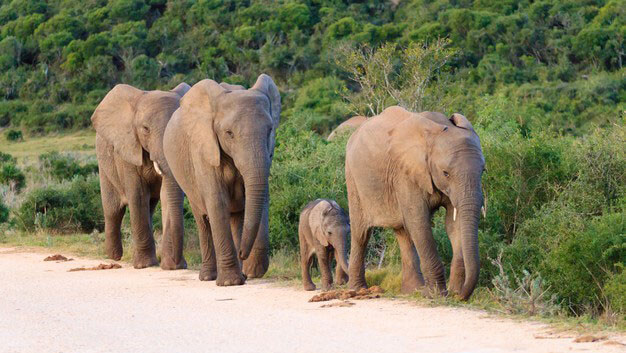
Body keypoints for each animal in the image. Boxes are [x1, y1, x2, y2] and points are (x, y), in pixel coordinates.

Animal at [90, 82, 188, 270]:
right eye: (145, 129)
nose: (178, 264)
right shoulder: (127, 151)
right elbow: (138, 195)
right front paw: (145, 265)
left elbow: (166, 195)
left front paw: (170, 267)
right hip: (104, 165)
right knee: (113, 210)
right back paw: (114, 256)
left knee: (148, 208)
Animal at [162, 74, 280, 286]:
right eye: (229, 133)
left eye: (269, 130)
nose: (242, 253)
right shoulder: (203, 150)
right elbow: (217, 203)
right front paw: (230, 283)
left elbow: (252, 201)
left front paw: (244, 275)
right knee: (202, 219)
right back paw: (208, 277)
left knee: (235, 217)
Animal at [344, 106, 486, 298]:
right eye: (446, 173)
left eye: (483, 171)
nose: (460, 295)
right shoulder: (405, 173)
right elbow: (419, 222)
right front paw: (435, 294)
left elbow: (453, 224)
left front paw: (454, 292)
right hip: (353, 178)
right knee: (361, 233)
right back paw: (357, 289)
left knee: (403, 232)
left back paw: (412, 290)